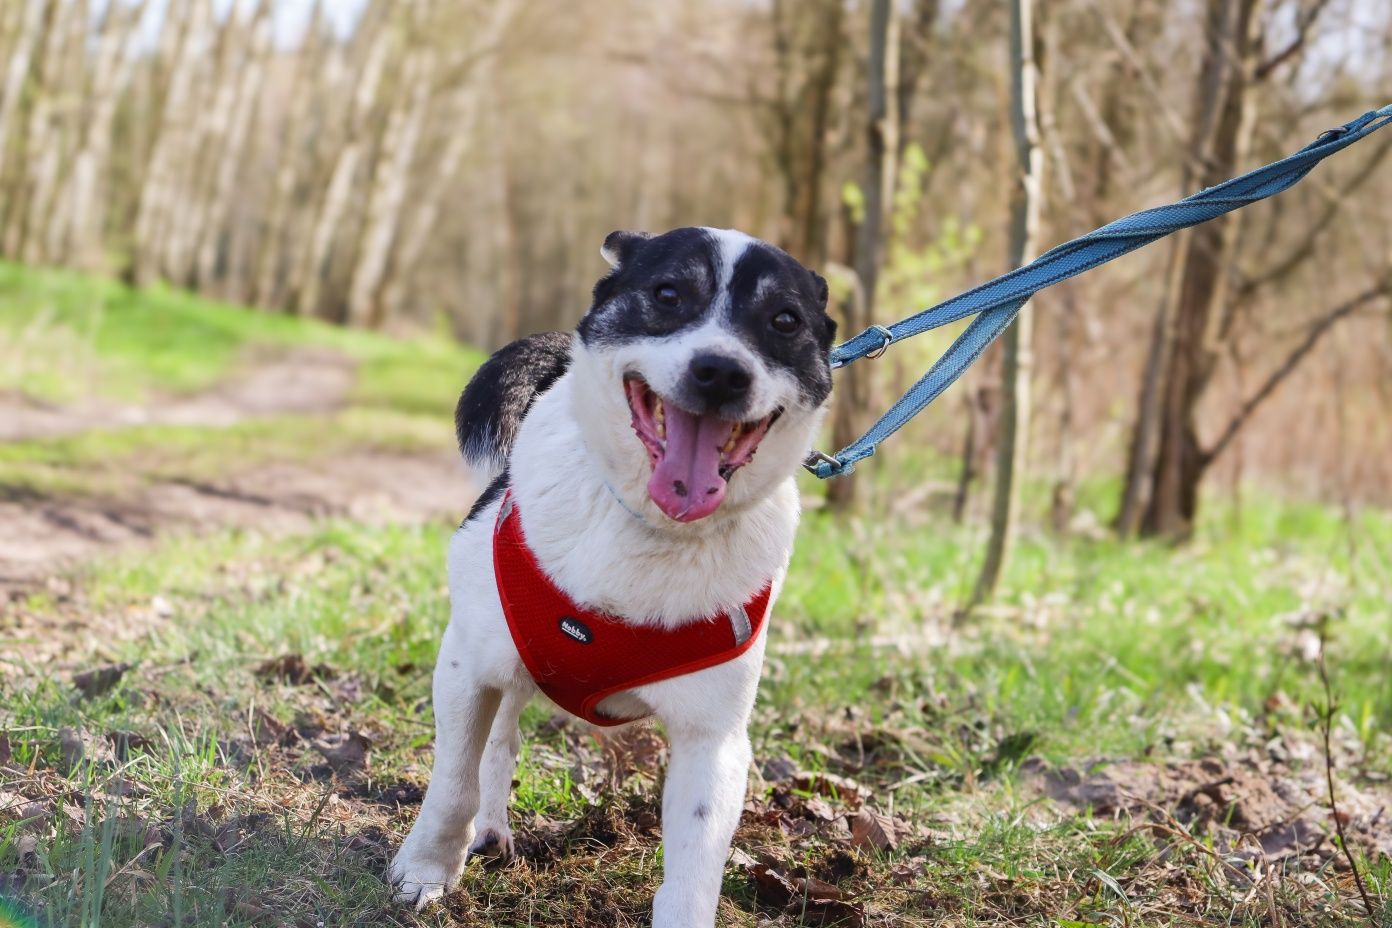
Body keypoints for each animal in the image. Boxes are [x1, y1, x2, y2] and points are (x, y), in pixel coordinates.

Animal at [386, 226, 829, 928]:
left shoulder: (714, 742)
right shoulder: (466, 669)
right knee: (497, 742)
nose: (721, 372)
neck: (650, 526)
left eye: (785, 320)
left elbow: (694, 869)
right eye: (668, 293)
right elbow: (453, 781)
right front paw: (425, 871)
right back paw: (487, 828)